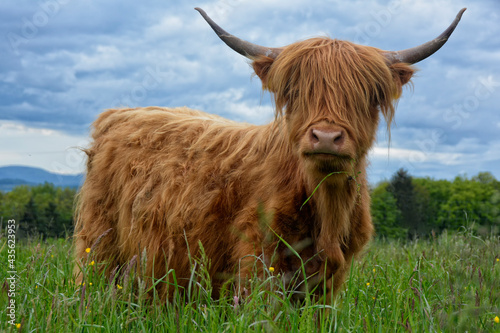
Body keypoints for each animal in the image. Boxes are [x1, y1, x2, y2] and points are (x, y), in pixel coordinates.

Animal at [74, 7, 464, 300]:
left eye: (367, 95)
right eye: (295, 91)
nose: (326, 137)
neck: (326, 206)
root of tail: (119, 113)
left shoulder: (329, 282)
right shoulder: (257, 262)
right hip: (99, 245)